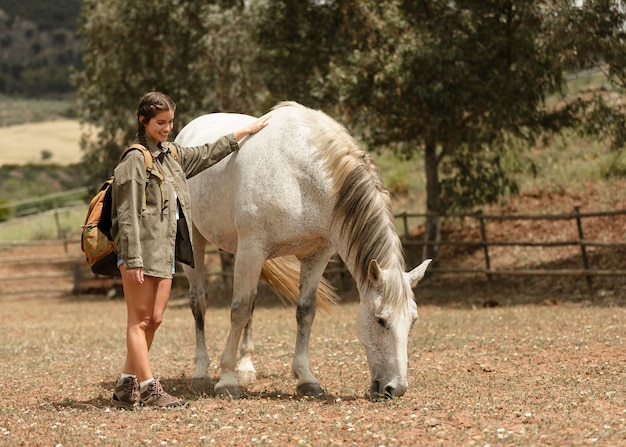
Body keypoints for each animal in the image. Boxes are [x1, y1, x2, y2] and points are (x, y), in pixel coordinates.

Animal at [174, 101, 428, 400]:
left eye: (413, 321)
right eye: (380, 320)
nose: (395, 388)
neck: (300, 175)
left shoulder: (317, 255)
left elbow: (304, 312)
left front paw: (306, 378)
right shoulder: (252, 249)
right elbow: (238, 309)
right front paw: (227, 380)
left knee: (252, 302)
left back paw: (246, 368)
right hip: (197, 242)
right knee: (199, 301)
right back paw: (201, 372)